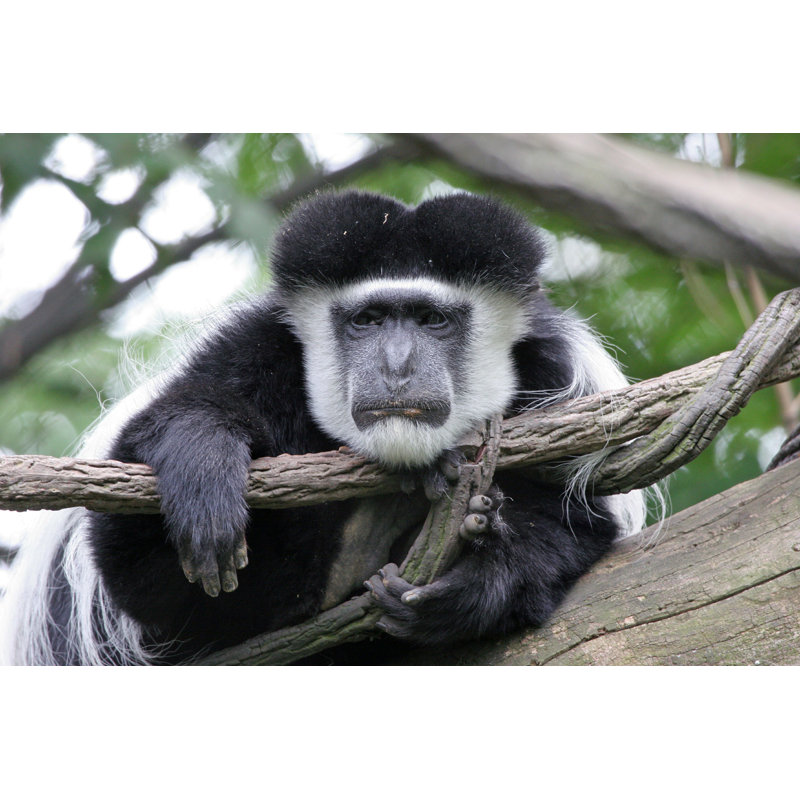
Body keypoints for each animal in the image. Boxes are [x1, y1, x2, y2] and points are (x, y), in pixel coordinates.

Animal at [0, 190, 645, 664]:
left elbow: (572, 525)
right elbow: (158, 584)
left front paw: (466, 590)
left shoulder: (558, 375)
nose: (396, 367)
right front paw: (202, 465)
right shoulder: (250, 351)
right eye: (368, 320)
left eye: (432, 320)